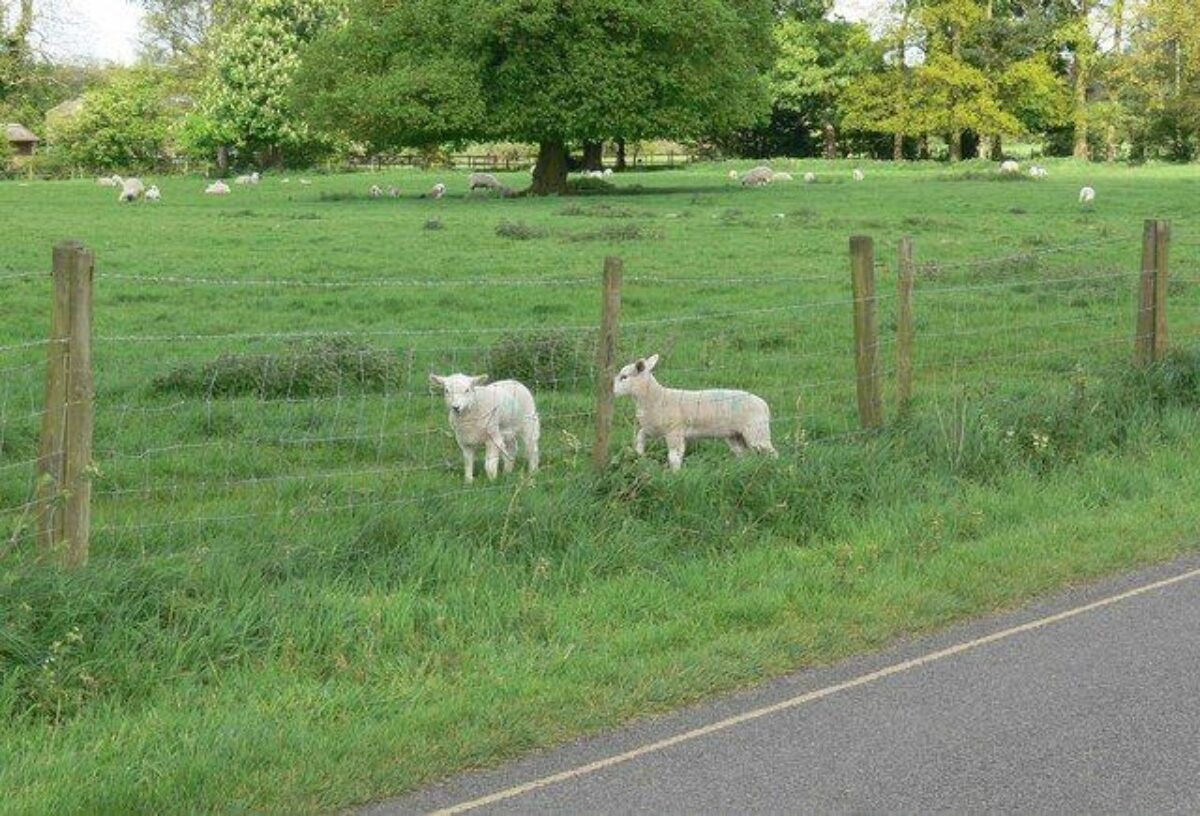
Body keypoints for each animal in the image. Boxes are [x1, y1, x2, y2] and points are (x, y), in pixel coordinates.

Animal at [614, 352, 772, 472]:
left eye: (624, 377)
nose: (612, 391)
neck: (657, 398)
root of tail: (764, 405)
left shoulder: (675, 432)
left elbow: (674, 456)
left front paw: (675, 474)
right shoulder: (652, 428)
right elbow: (640, 436)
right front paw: (639, 453)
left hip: (757, 432)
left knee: (770, 453)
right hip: (736, 435)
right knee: (744, 454)